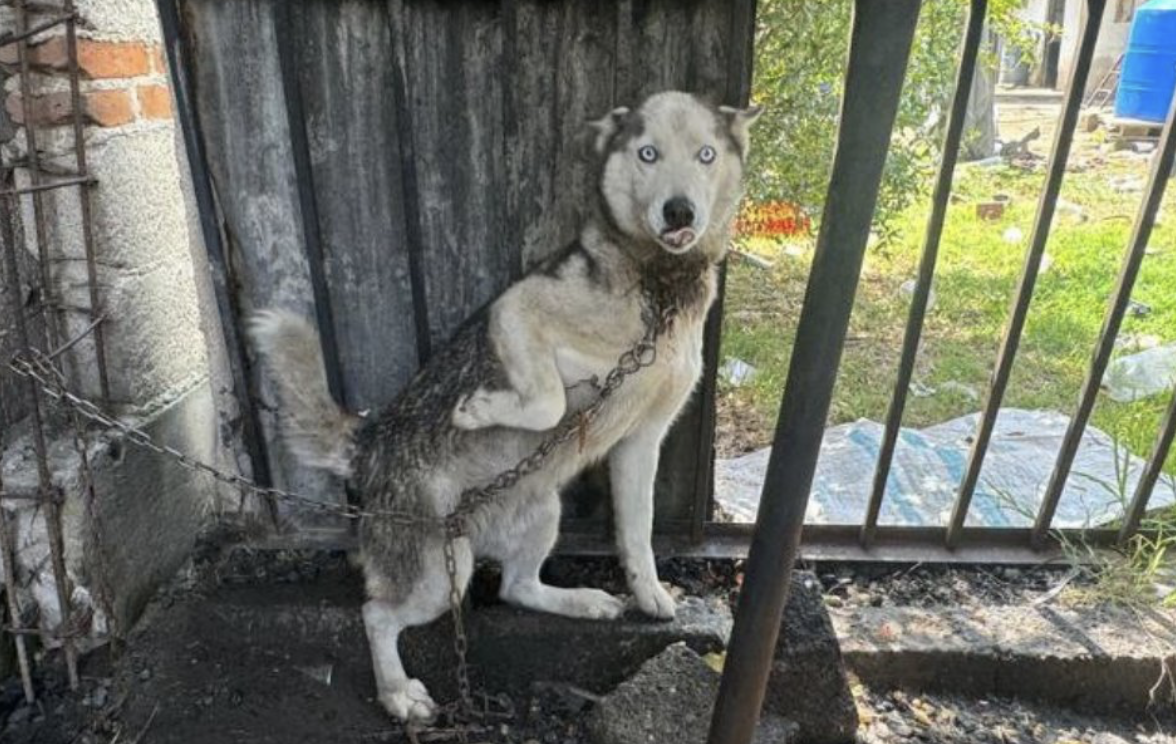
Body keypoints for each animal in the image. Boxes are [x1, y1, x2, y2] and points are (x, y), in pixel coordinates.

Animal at [250, 89, 762, 724]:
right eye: (648, 153)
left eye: (705, 155)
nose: (679, 212)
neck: (658, 286)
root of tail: (368, 443)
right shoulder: (516, 309)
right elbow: (547, 400)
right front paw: (479, 408)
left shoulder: (642, 442)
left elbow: (638, 533)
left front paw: (649, 594)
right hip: (439, 576)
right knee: (376, 614)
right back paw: (398, 693)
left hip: (541, 510)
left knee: (516, 588)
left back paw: (582, 601)